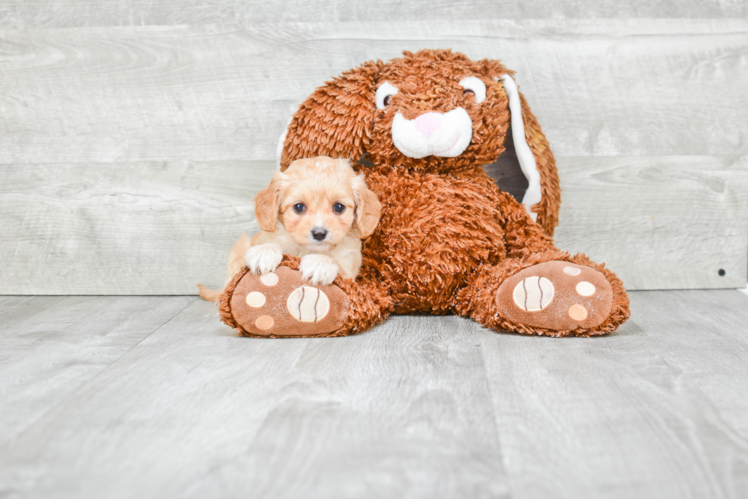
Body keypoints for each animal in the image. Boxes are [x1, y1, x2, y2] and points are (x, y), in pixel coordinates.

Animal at [199, 156, 380, 300]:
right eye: (299, 207)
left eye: (339, 207)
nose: (319, 233)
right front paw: (264, 252)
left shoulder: (349, 268)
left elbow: (336, 263)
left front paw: (320, 262)